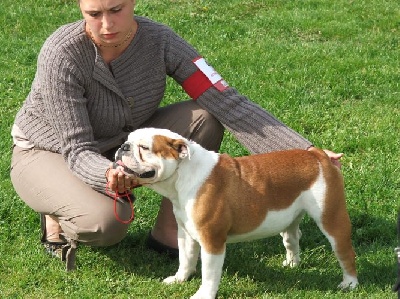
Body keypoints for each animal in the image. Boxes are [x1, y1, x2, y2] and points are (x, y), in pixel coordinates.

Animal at [117, 127, 358, 298]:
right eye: (128, 140)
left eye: (144, 147)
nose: (123, 146)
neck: (183, 175)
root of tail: (318, 156)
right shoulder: (185, 234)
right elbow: (185, 259)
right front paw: (179, 279)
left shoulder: (212, 241)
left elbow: (209, 274)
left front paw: (203, 295)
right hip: (290, 219)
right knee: (292, 238)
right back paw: (291, 264)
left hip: (331, 218)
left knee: (345, 251)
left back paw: (349, 283)